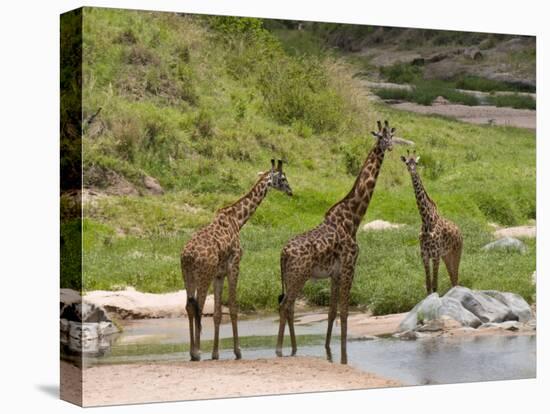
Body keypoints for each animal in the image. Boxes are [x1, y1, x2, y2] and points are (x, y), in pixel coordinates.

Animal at [181, 160, 294, 360]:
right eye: (282, 178)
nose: (291, 191)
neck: (238, 220)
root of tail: (187, 256)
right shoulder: (234, 265)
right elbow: (233, 308)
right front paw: (238, 351)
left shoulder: (219, 274)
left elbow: (218, 313)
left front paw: (215, 353)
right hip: (203, 275)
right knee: (198, 307)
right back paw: (197, 352)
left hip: (188, 276)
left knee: (189, 307)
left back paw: (193, 352)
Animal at [278, 121, 398, 364]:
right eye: (381, 137)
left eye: (391, 136)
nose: (389, 147)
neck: (353, 219)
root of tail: (283, 253)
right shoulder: (350, 265)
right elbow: (344, 311)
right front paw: (344, 352)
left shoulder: (334, 272)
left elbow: (332, 311)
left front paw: (328, 349)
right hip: (299, 275)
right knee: (285, 306)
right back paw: (280, 350)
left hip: (291, 276)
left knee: (288, 306)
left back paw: (293, 348)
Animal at [402, 150, 466, 296]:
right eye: (407, 162)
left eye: (416, 163)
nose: (412, 170)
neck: (426, 220)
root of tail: (459, 231)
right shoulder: (425, 255)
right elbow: (428, 285)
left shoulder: (435, 255)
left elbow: (435, 284)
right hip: (446, 256)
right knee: (452, 277)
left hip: (456, 252)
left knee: (456, 277)